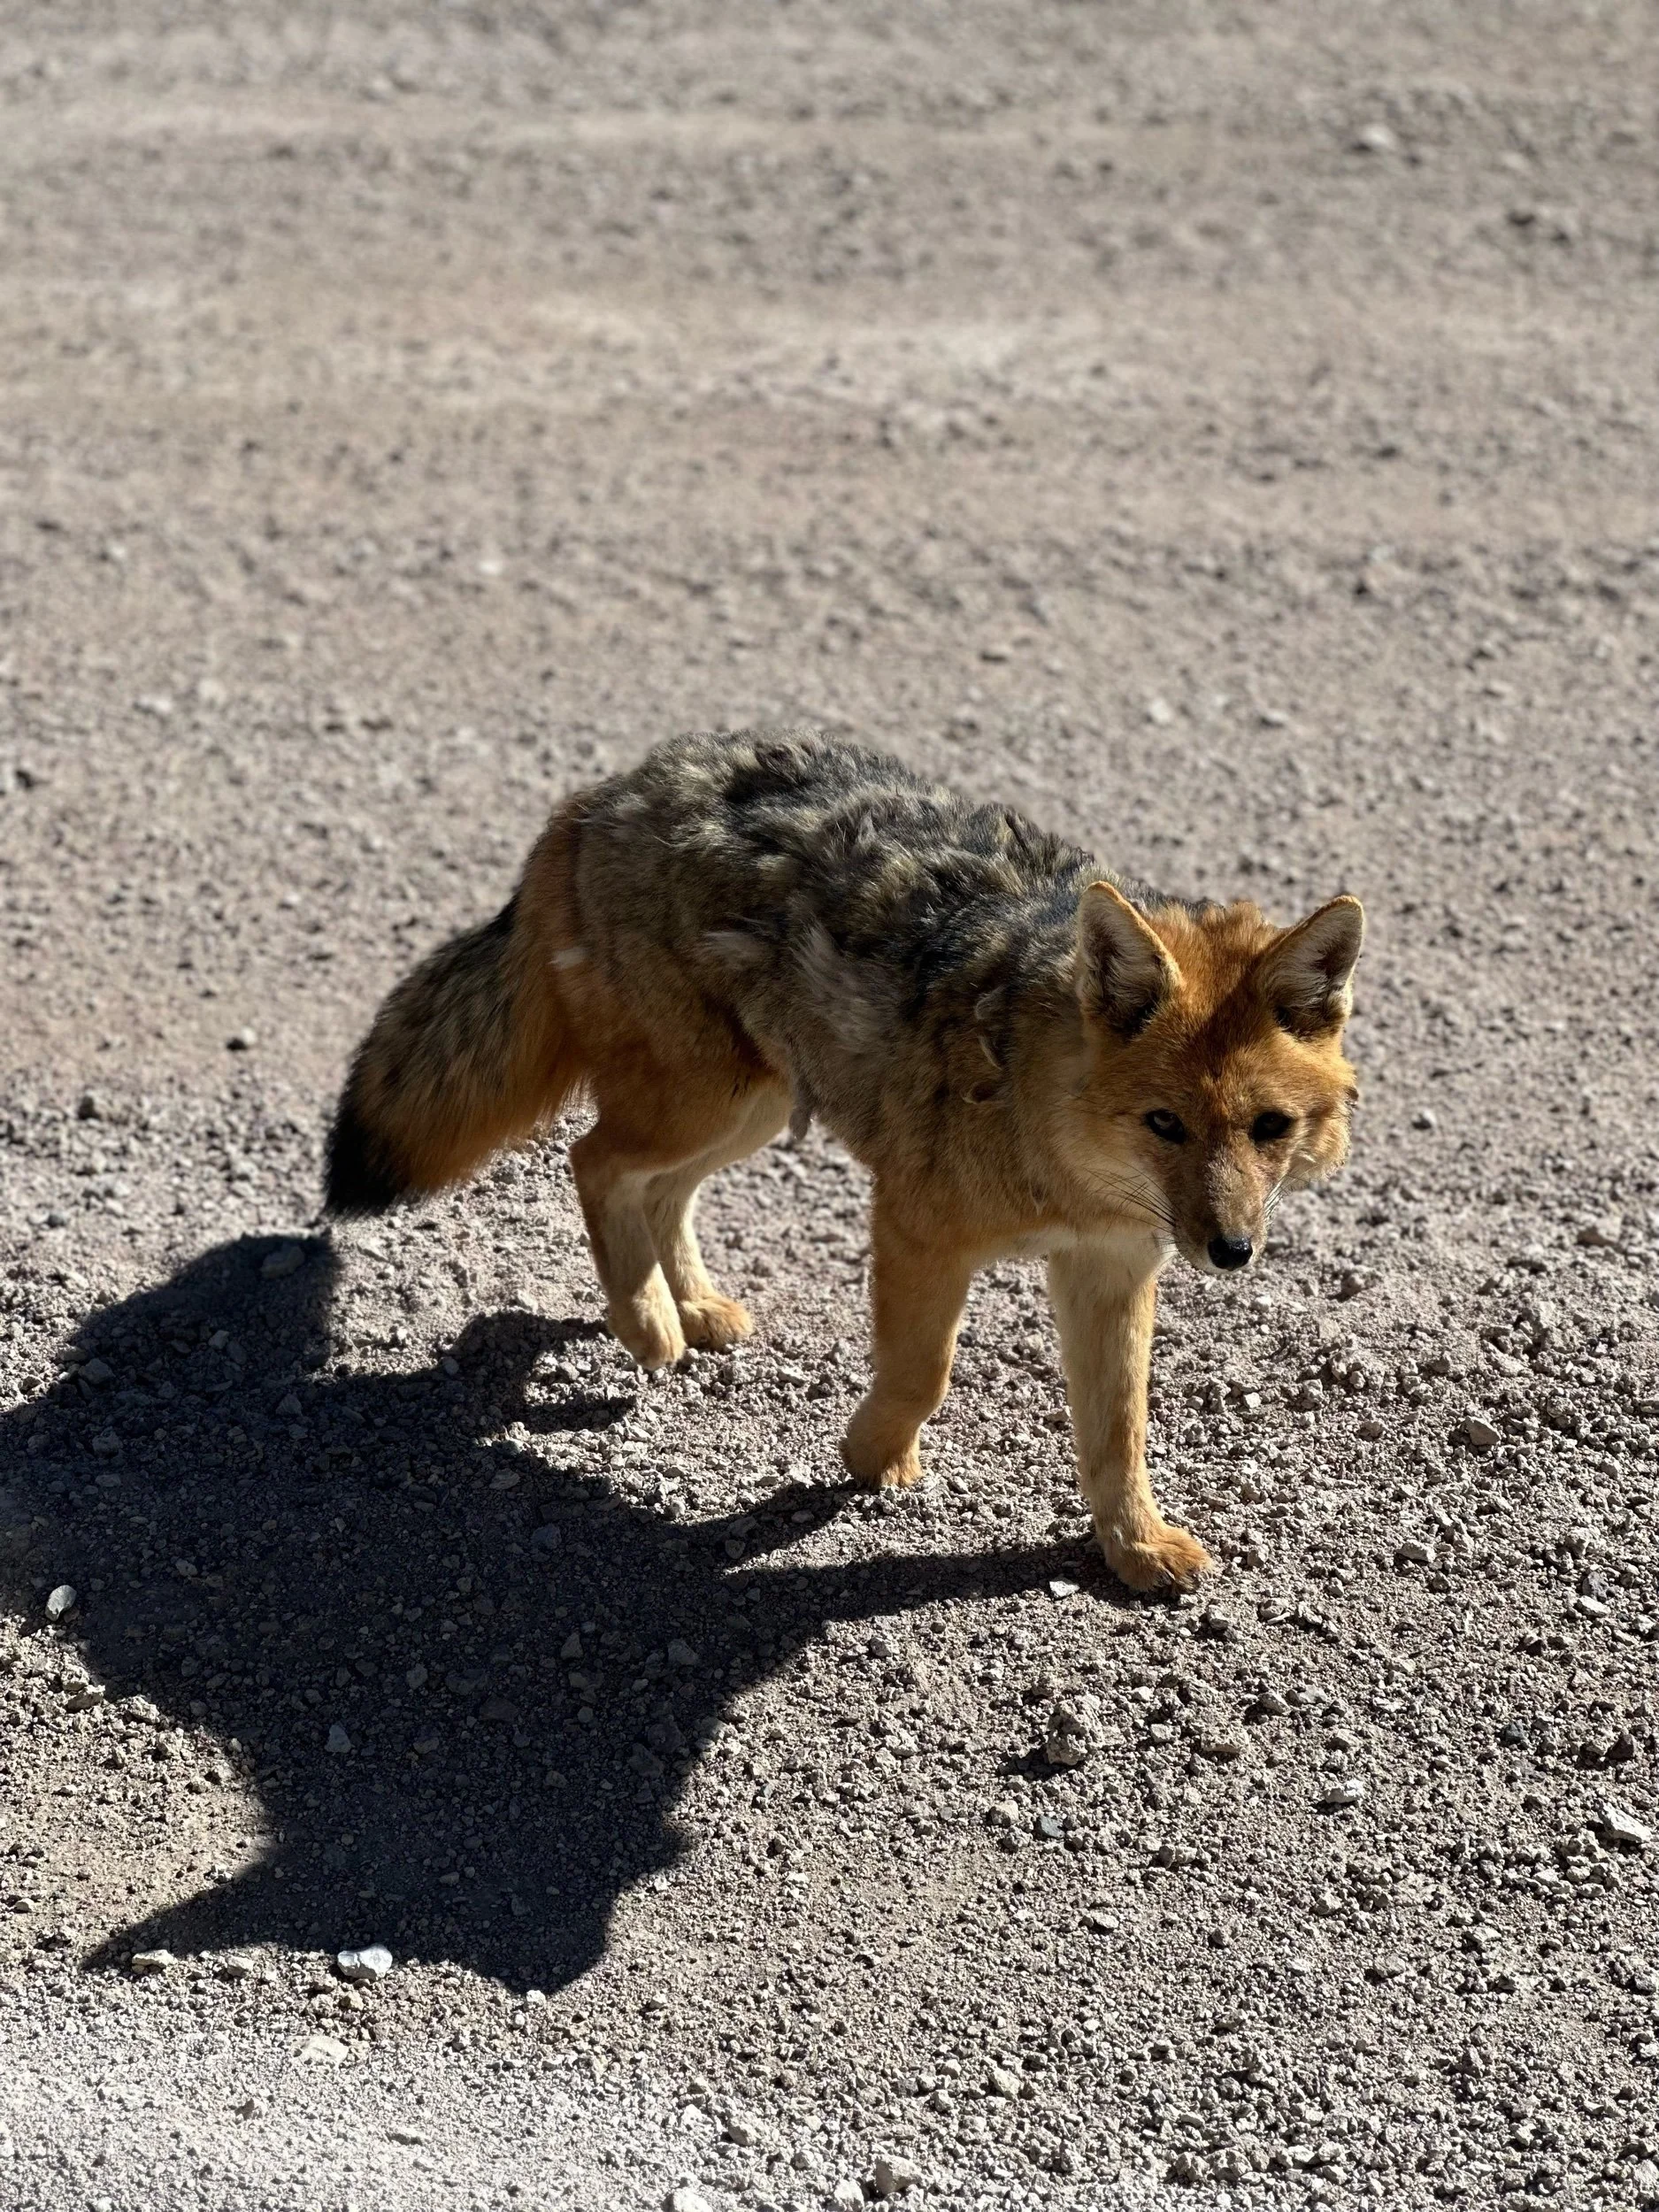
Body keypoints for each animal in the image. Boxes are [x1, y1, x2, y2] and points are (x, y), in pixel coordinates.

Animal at [326, 728, 1362, 1593]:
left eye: (1269, 1128)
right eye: (1164, 1124)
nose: (1232, 1251)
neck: (1054, 1141)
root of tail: (608, 789)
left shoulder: (1111, 1266)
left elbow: (1118, 1428)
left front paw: (1133, 1545)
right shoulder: (915, 1227)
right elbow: (923, 1372)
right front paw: (872, 1458)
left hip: (752, 1106)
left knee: (658, 1191)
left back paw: (691, 1307)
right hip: (706, 1102)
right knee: (594, 1161)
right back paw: (649, 1323)